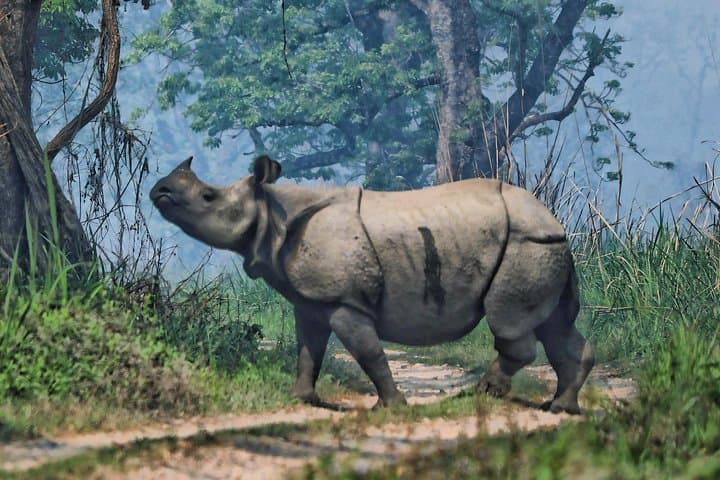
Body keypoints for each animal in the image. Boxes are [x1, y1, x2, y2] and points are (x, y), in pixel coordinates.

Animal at [150, 155, 595, 414]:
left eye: (208, 197)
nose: (160, 190)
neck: (272, 212)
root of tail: (554, 220)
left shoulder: (345, 300)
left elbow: (368, 353)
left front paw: (393, 406)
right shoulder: (312, 299)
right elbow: (308, 350)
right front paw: (302, 400)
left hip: (524, 242)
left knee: (510, 323)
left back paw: (479, 395)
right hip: (541, 244)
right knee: (555, 325)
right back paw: (560, 407)